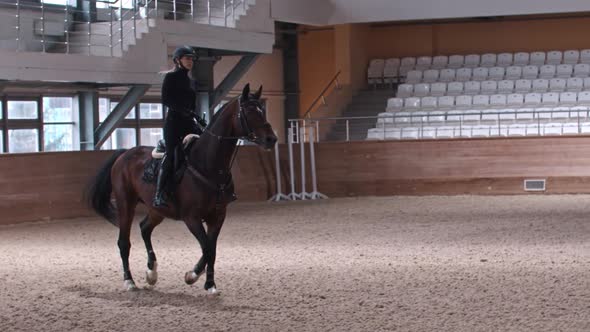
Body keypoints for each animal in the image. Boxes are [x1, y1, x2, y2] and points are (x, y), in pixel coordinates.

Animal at [86, 84, 278, 294]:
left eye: (262, 110)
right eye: (249, 111)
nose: (271, 139)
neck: (207, 165)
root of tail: (124, 154)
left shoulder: (218, 216)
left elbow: (212, 249)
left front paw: (209, 284)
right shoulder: (191, 218)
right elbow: (207, 248)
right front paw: (192, 276)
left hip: (157, 209)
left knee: (145, 228)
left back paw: (151, 272)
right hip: (126, 204)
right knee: (124, 242)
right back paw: (129, 281)